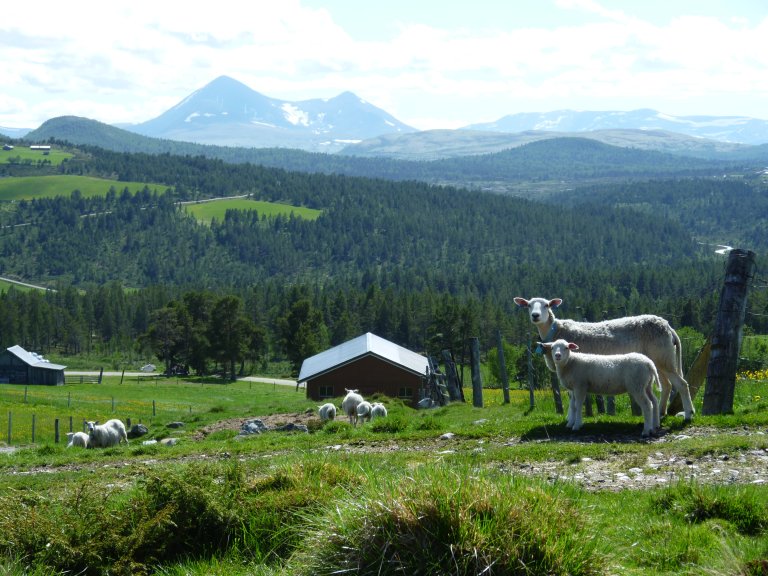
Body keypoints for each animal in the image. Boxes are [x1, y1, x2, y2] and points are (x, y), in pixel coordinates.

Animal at [512, 296, 692, 424]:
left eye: (547, 305)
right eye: (528, 305)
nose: (535, 316)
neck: (554, 332)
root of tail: (668, 326)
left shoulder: (573, 367)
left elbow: (573, 397)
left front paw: (571, 419)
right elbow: (571, 396)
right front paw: (570, 419)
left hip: (663, 356)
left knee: (682, 384)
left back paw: (688, 414)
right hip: (658, 360)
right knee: (667, 385)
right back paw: (661, 412)